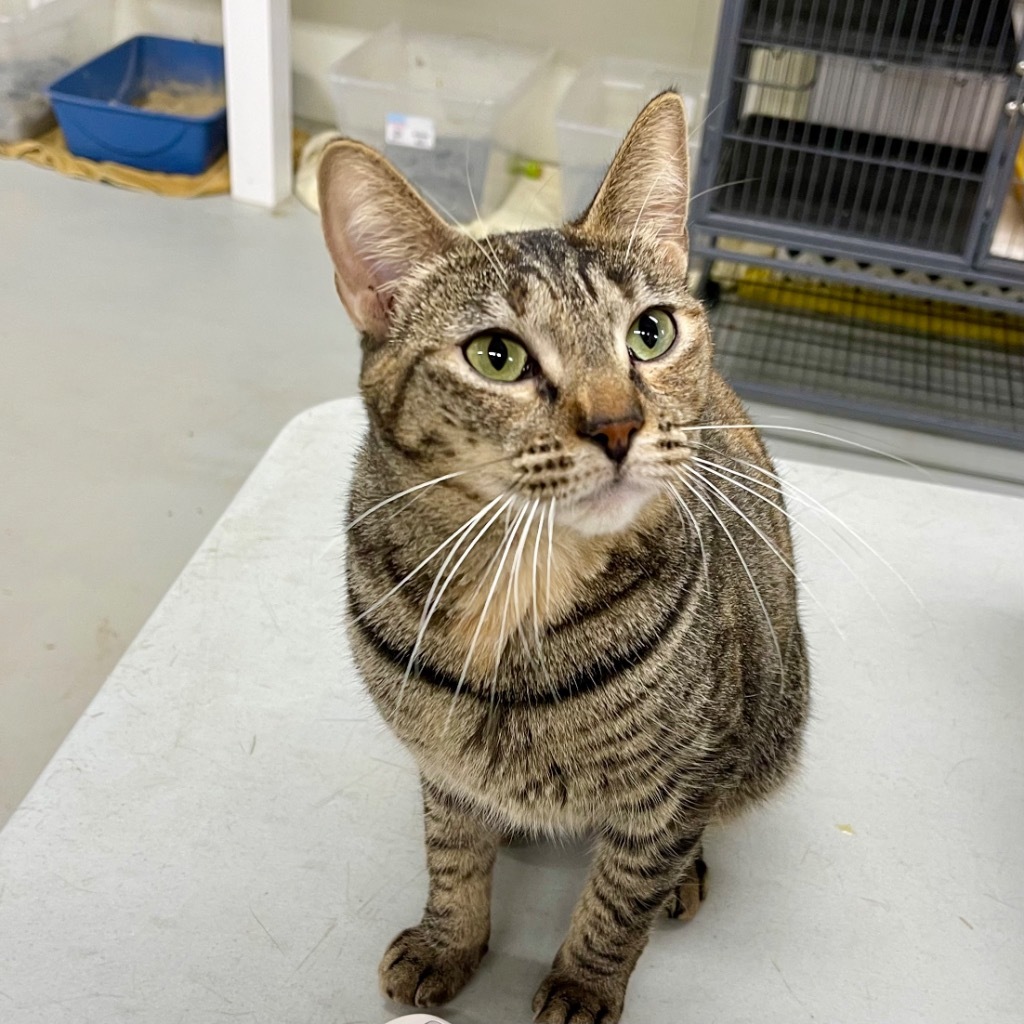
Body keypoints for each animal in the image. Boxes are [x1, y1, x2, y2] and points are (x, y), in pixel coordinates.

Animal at [315, 90, 811, 1024]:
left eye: (649, 334)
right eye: (496, 355)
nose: (618, 424)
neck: (519, 590)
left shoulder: (677, 781)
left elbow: (621, 897)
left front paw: (584, 984)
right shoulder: (440, 764)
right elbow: (451, 854)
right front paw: (448, 940)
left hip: (768, 725)